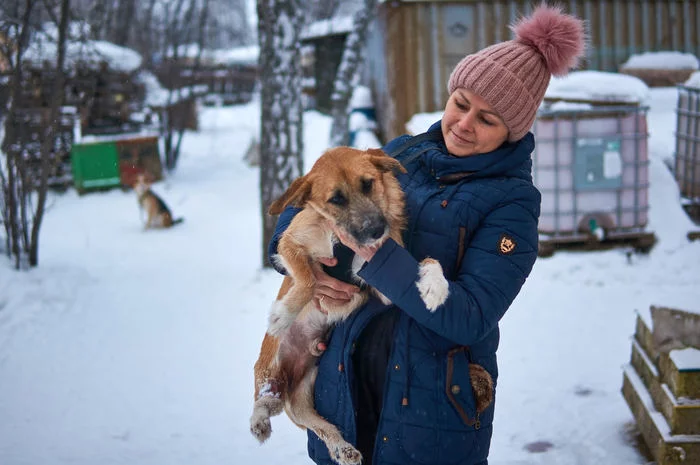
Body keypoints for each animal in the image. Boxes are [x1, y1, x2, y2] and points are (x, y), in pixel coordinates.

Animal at [250, 146, 486, 464]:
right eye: (336, 199)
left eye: (368, 184)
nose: (376, 230)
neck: (338, 236)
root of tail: (287, 380)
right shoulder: (288, 245)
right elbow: (309, 279)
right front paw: (283, 314)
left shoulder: (377, 274)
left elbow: (426, 259)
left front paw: (434, 286)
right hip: (269, 367)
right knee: (264, 399)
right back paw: (260, 419)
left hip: (308, 382)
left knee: (312, 419)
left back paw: (343, 447)